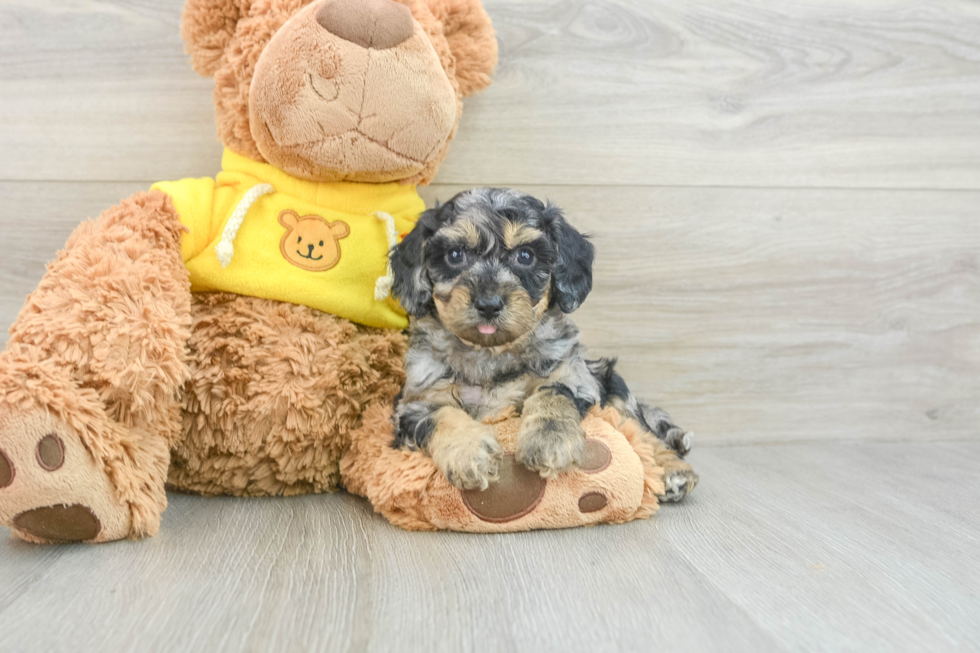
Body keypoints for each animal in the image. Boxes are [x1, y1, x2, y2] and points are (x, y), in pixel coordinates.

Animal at [388, 186, 696, 502]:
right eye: (455, 254)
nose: (488, 304)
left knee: (640, 431)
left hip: (609, 384)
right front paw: (469, 453)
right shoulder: (416, 401)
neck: (490, 353)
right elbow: (442, 415)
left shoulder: (572, 375)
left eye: (525, 256)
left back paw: (673, 471)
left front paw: (549, 441)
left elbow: (554, 395)